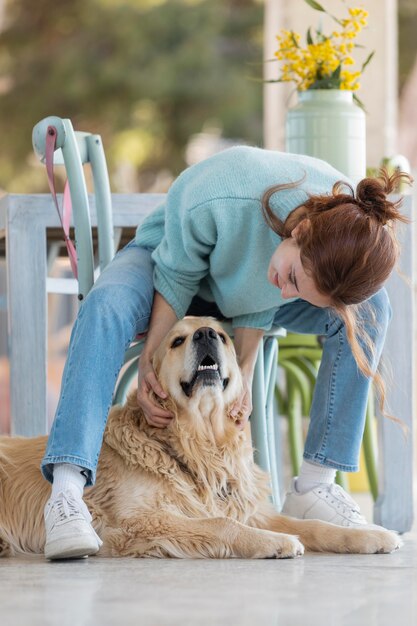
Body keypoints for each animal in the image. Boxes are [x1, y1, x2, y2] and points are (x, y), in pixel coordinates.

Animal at [0, 316, 400, 556]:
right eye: (177, 340)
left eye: (221, 334)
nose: (206, 334)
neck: (199, 445)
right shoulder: (138, 521)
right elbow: (220, 523)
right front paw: (275, 542)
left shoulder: (249, 509)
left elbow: (313, 525)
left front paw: (372, 535)